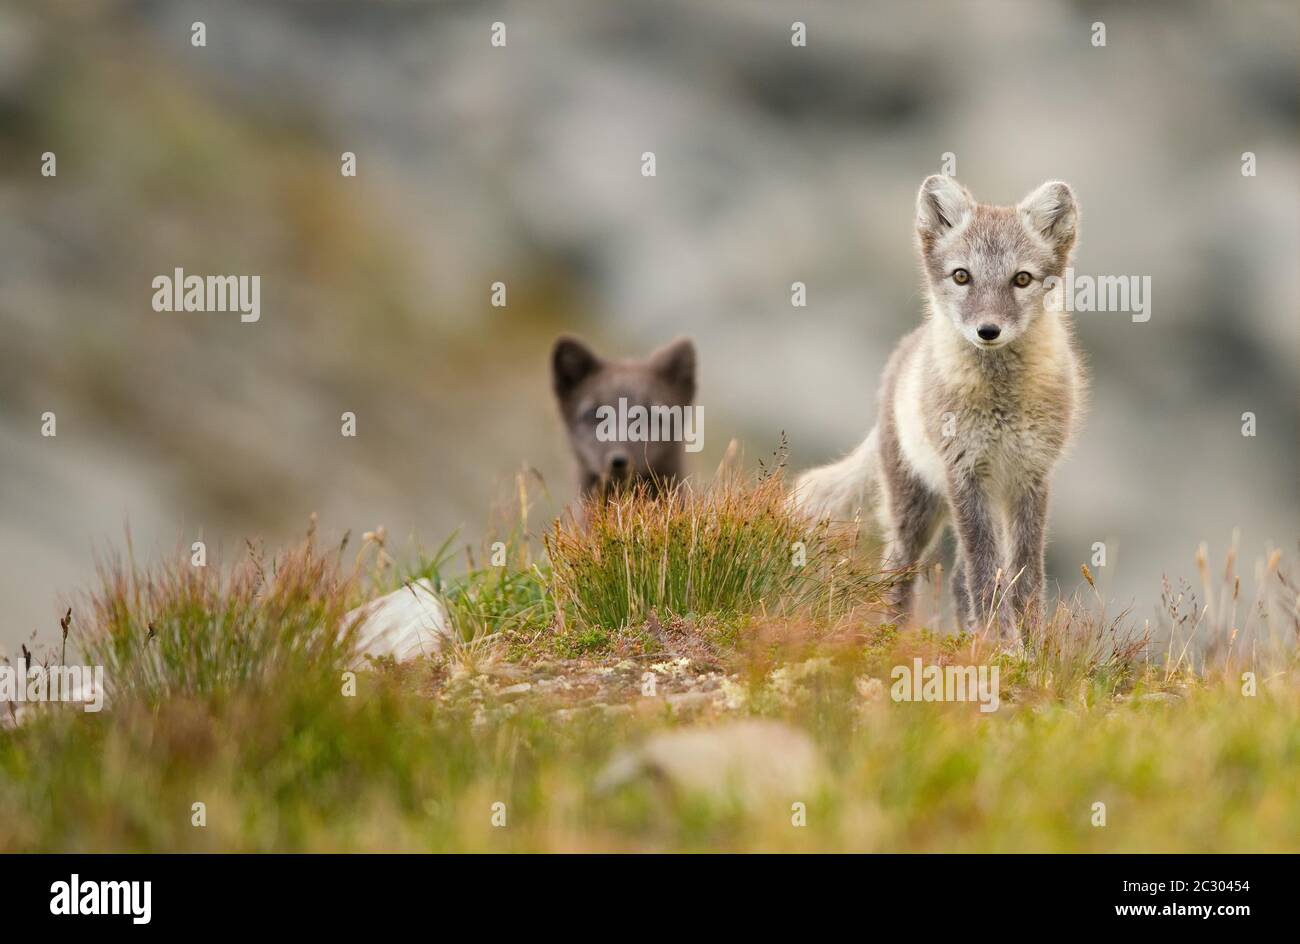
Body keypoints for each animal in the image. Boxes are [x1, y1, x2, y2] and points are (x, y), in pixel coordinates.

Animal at [790, 176, 1086, 642]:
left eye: (1022, 279)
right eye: (962, 276)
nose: (988, 330)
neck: (1001, 402)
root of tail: (903, 353)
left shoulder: (1031, 476)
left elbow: (1024, 574)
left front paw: (1030, 641)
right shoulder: (965, 471)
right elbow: (987, 575)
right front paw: (1005, 644)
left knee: (957, 580)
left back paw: (969, 638)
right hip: (917, 506)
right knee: (898, 571)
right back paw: (894, 635)